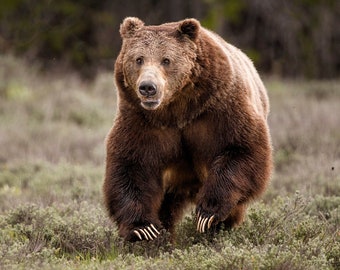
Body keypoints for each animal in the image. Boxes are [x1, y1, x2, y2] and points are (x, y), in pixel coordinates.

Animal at [102, 17, 272, 243]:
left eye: (166, 60)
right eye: (139, 59)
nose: (148, 87)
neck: (179, 109)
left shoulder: (219, 108)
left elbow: (240, 148)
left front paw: (207, 214)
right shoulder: (144, 122)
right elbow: (131, 164)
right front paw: (143, 229)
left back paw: (219, 228)